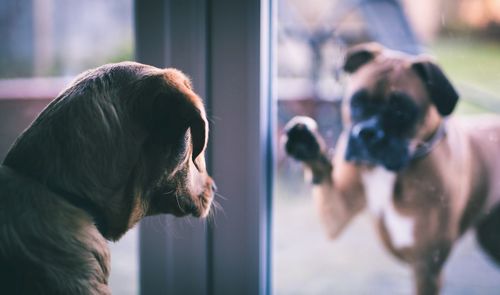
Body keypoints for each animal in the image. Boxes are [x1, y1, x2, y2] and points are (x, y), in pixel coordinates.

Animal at [286, 43, 500, 295]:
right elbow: (323, 175)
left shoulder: (426, 267)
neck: (391, 173)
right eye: (356, 102)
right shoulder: (335, 215)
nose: (367, 133)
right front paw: (306, 144)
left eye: (401, 110)